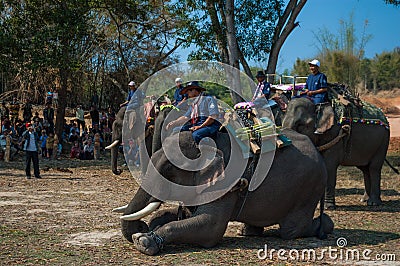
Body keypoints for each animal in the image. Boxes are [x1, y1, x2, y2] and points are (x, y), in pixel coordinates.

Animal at [114, 129, 332, 256]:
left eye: (169, 169)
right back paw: (248, 230)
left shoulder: (227, 183)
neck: (207, 145)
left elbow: (211, 227)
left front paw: (143, 240)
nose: (140, 226)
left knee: (291, 229)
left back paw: (325, 226)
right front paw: (152, 225)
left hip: (309, 188)